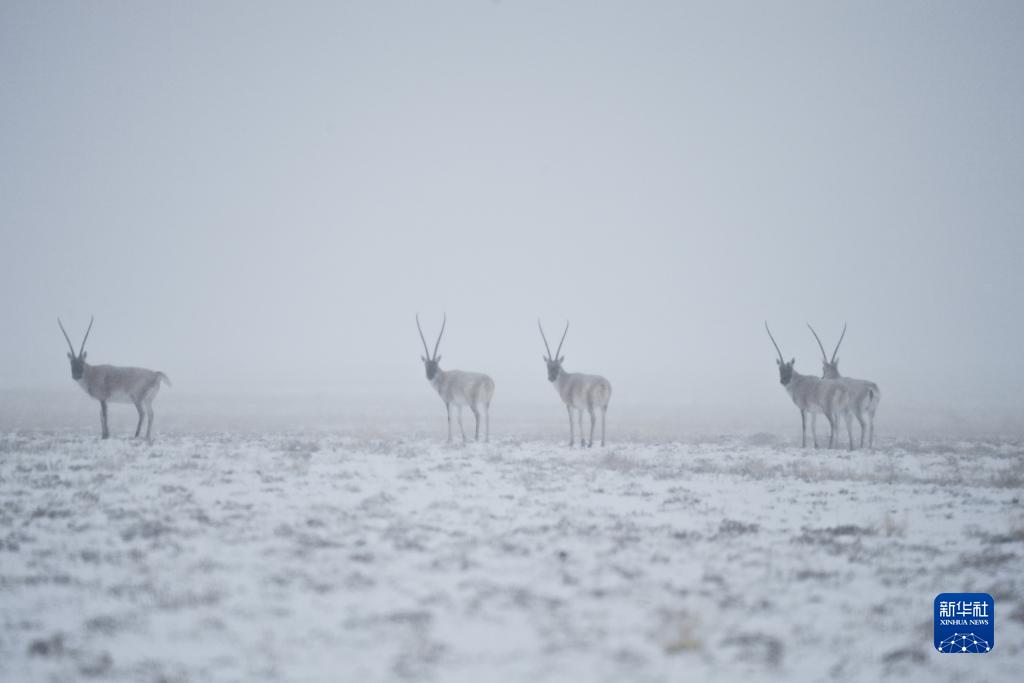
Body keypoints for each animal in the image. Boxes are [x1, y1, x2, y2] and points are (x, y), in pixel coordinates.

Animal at [415, 315, 495, 444]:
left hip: (473, 403)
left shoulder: (449, 402)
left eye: (435, 365)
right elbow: (459, 419)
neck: (444, 377)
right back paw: (486, 439)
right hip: (486, 402)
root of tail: (487, 381)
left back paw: (476, 437)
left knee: (478, 415)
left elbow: (450, 418)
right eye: (426, 365)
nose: (429, 376)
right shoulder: (459, 405)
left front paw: (449, 439)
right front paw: (464, 438)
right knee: (487, 417)